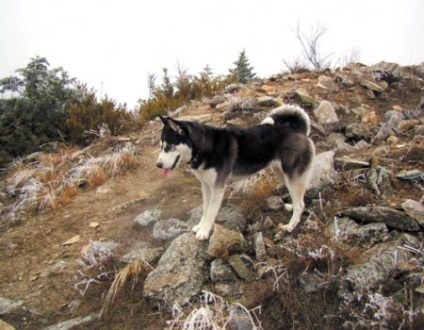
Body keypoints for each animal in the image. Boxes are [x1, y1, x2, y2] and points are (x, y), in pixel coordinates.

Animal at [156, 104, 314, 240]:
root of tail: (297, 129)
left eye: (169, 147)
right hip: (281, 174)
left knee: (301, 204)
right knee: (298, 200)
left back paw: (290, 226)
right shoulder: (206, 186)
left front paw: (204, 232)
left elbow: (211, 212)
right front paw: (200, 227)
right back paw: (291, 207)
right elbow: (205, 209)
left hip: (292, 176)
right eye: (161, 146)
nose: (158, 165)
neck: (204, 147)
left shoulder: (218, 188)